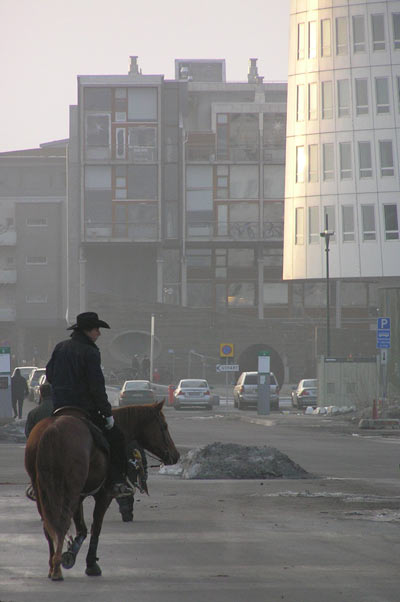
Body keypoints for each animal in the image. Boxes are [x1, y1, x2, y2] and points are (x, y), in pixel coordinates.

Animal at [25, 400, 180, 580]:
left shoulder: (80, 496)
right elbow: (95, 528)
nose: (176, 455)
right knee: (62, 522)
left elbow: (82, 528)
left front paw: (72, 551)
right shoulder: (104, 495)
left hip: (43, 491)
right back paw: (57, 568)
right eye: (164, 426)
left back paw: (52, 566)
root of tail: (53, 429)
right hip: (69, 490)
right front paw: (90, 563)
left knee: (48, 524)